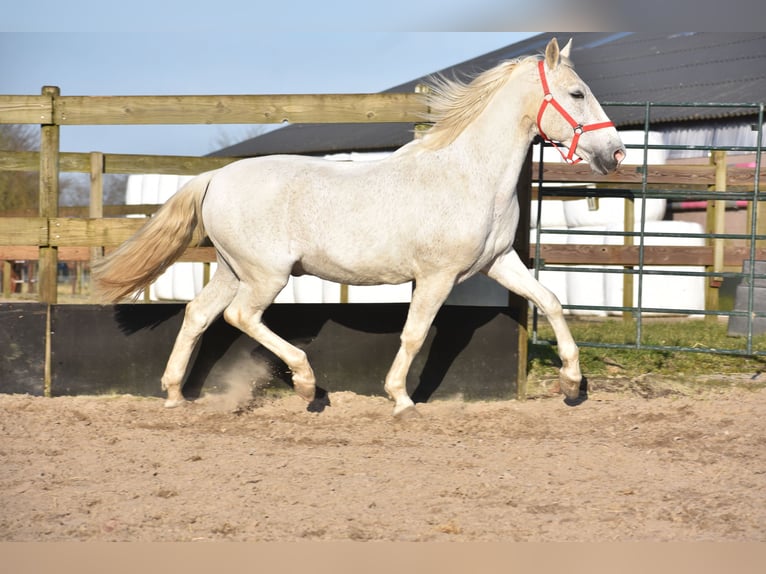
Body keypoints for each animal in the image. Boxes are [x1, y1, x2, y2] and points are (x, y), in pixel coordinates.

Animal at [93, 39, 628, 418]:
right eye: (577, 93)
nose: (616, 153)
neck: (469, 173)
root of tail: (216, 176)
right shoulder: (436, 276)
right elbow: (415, 333)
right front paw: (401, 399)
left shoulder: (498, 263)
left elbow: (551, 301)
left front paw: (571, 385)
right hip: (266, 275)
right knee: (239, 317)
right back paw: (307, 385)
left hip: (232, 269)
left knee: (198, 314)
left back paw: (174, 395)